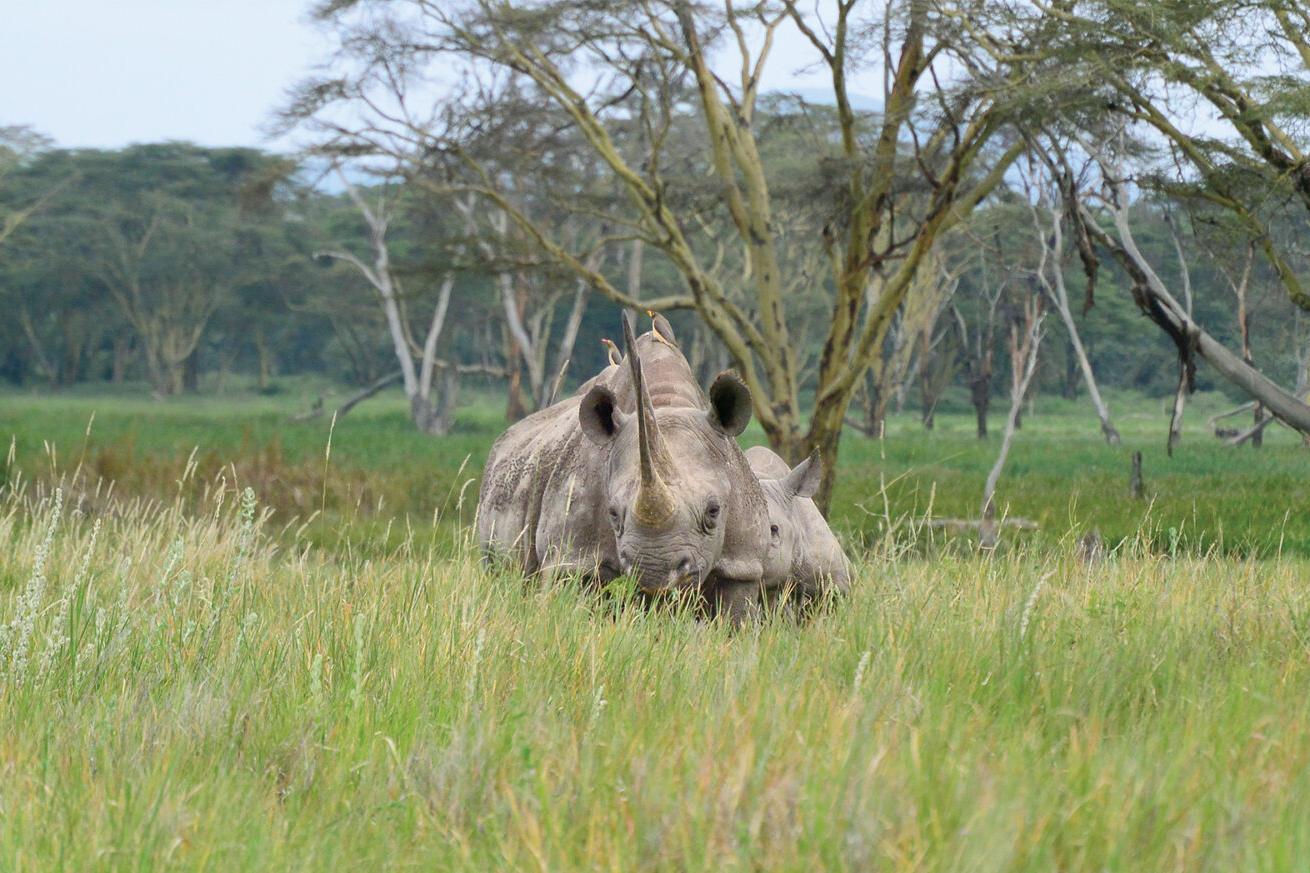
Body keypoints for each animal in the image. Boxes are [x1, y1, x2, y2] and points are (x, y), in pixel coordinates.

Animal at [477, 315, 769, 621]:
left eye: (714, 511)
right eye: (613, 513)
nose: (654, 571)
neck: (666, 401)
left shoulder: (743, 562)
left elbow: (734, 616)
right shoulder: (573, 558)